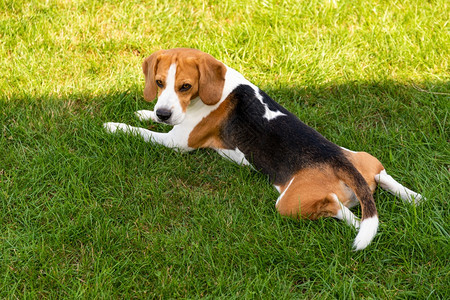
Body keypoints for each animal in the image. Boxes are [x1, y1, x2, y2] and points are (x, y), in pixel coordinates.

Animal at [103, 48, 424, 251]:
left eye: (185, 86)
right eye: (158, 83)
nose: (163, 113)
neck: (221, 87)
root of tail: (337, 161)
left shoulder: (178, 142)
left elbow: (143, 133)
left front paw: (115, 126)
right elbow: (148, 121)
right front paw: (144, 113)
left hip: (289, 202)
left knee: (339, 208)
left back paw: (358, 225)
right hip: (362, 157)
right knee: (382, 177)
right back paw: (414, 198)